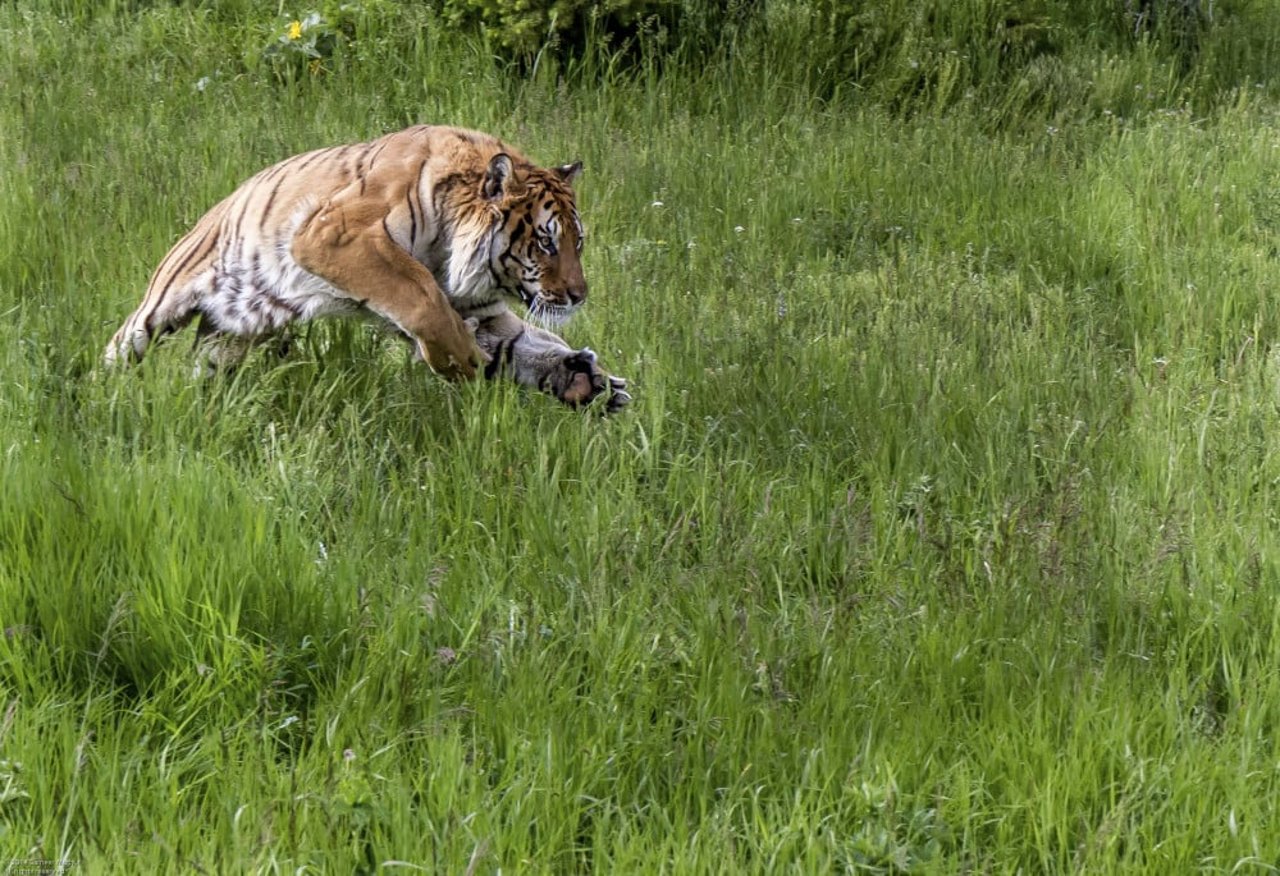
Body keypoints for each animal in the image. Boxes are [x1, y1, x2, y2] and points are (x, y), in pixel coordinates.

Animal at [104, 122, 629, 414]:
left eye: (578, 242)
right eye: (545, 242)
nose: (579, 296)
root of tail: (218, 206)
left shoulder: (480, 307)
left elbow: (523, 344)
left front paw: (588, 382)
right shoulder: (335, 234)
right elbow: (422, 296)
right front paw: (461, 362)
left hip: (226, 342)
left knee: (202, 376)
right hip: (158, 308)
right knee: (120, 350)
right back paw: (100, 403)